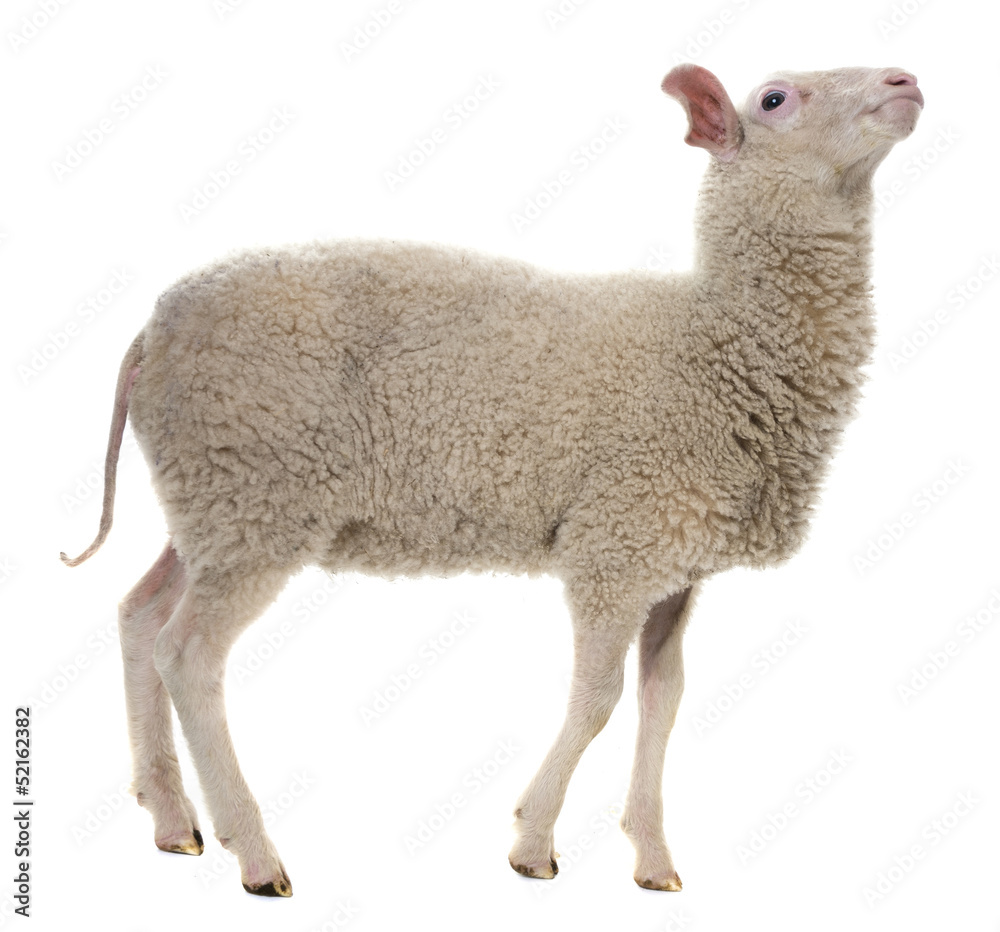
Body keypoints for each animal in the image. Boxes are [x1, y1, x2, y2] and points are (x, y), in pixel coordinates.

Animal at [61, 63, 923, 896]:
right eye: (775, 100)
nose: (905, 83)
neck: (715, 341)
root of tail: (150, 330)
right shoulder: (614, 543)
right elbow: (598, 699)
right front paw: (533, 842)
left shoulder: (673, 562)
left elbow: (664, 698)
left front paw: (652, 859)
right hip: (255, 492)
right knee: (188, 656)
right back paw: (254, 853)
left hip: (211, 498)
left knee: (140, 615)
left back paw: (171, 819)